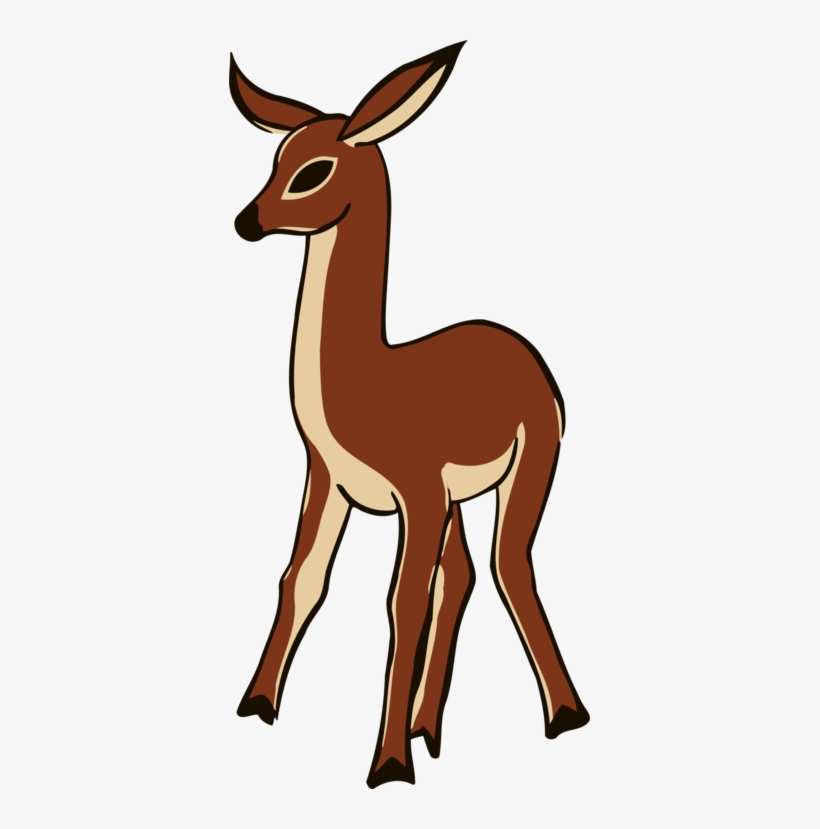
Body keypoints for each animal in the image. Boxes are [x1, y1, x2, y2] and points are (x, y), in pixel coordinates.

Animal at [229, 41, 589, 788]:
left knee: (509, 567)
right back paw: (430, 727)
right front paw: (257, 702)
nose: (247, 221)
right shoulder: (328, 480)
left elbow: (402, 602)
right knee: (465, 575)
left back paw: (563, 715)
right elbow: (300, 580)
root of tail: (525, 353)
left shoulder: (416, 493)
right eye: (276, 155)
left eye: (314, 170)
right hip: (457, 500)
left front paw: (387, 763)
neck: (368, 379)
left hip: (523, 471)